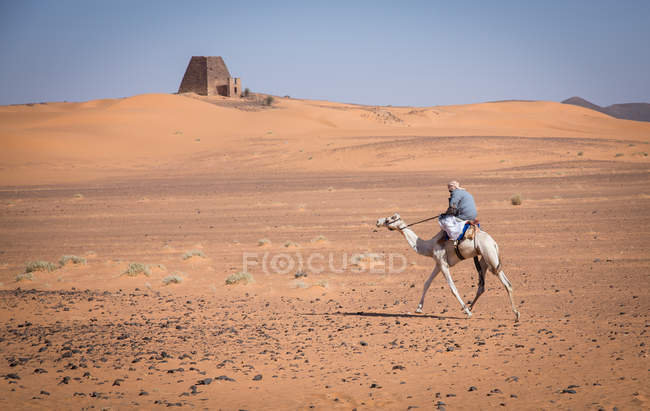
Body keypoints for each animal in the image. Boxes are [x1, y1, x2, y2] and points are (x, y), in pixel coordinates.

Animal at [374, 214, 516, 324]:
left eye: (389, 219)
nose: (378, 221)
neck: (429, 246)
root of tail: (494, 243)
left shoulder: (443, 264)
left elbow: (453, 288)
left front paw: (467, 312)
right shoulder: (438, 264)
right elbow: (427, 283)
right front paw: (418, 308)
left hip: (490, 256)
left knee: (506, 284)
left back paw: (516, 315)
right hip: (485, 260)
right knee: (482, 286)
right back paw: (471, 307)